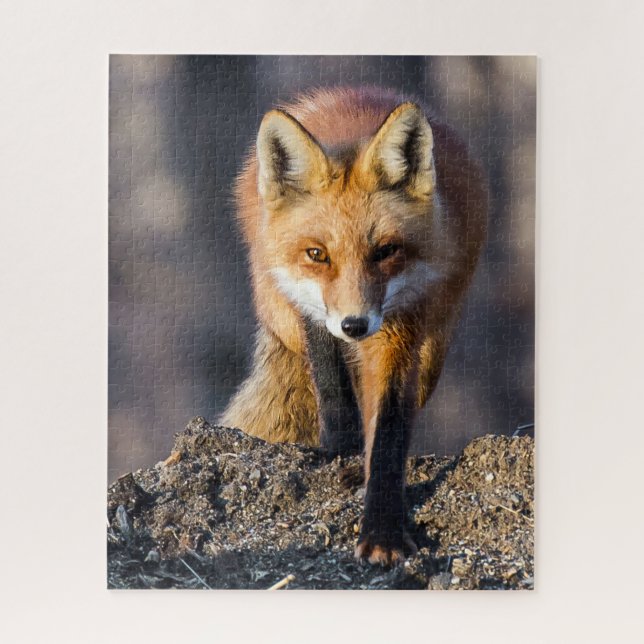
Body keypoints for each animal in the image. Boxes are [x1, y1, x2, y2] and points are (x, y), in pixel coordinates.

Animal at [220, 86, 487, 565]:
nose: (355, 324)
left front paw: (382, 528)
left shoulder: (403, 326)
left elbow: (389, 428)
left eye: (386, 251)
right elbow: (330, 382)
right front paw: (341, 447)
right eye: (317, 254)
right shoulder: (309, 308)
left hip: (434, 347)